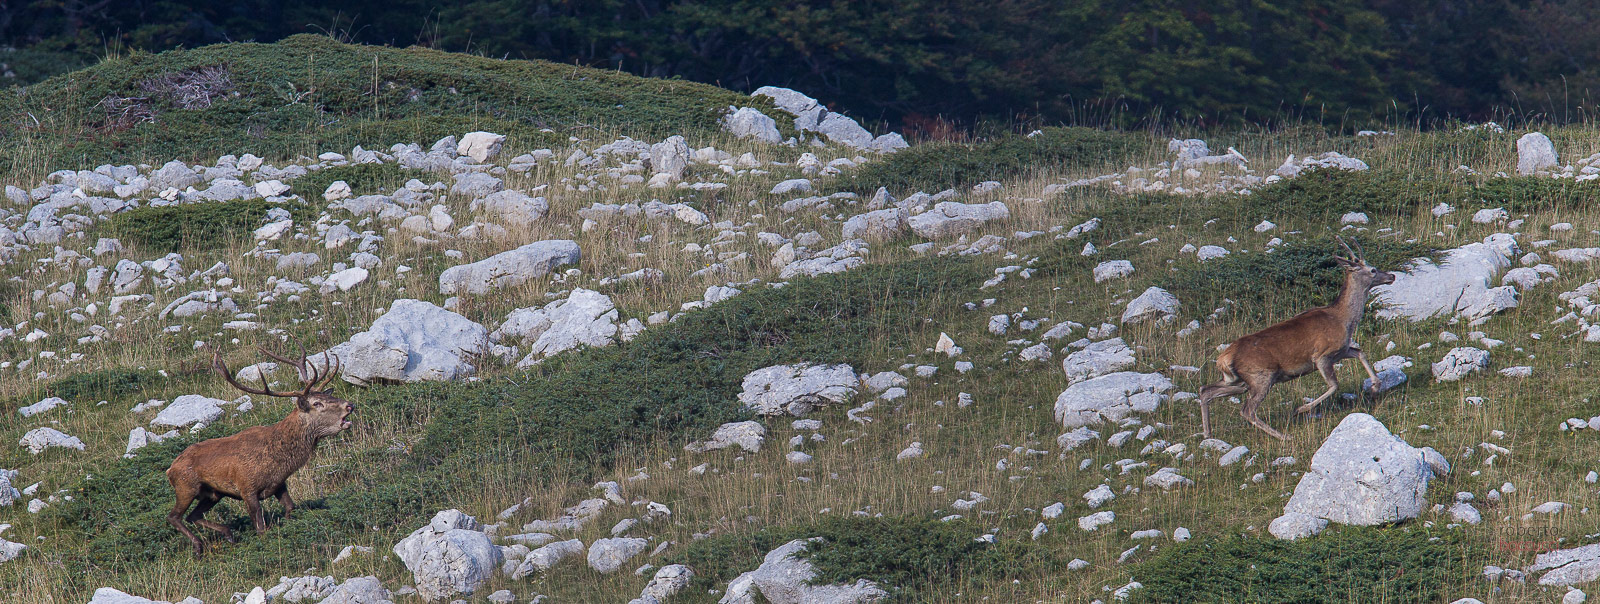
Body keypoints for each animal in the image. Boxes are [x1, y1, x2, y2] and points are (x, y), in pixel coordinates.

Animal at [165, 348, 353, 556]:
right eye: (317, 403)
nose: (349, 405)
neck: (276, 460)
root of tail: (170, 469)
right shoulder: (247, 487)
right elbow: (260, 525)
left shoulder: (279, 483)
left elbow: (290, 507)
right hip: (186, 486)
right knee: (174, 516)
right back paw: (199, 545)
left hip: (213, 494)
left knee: (193, 516)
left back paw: (228, 534)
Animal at [1197, 237, 1396, 441]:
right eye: (1372, 270)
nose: (1391, 276)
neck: (1344, 319)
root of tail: (1223, 358)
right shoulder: (1322, 355)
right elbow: (1334, 385)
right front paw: (1300, 409)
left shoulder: (1340, 350)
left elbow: (1360, 352)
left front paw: (1375, 386)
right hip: (1261, 375)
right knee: (1247, 410)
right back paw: (1283, 436)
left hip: (1238, 380)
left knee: (1205, 390)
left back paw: (1207, 433)